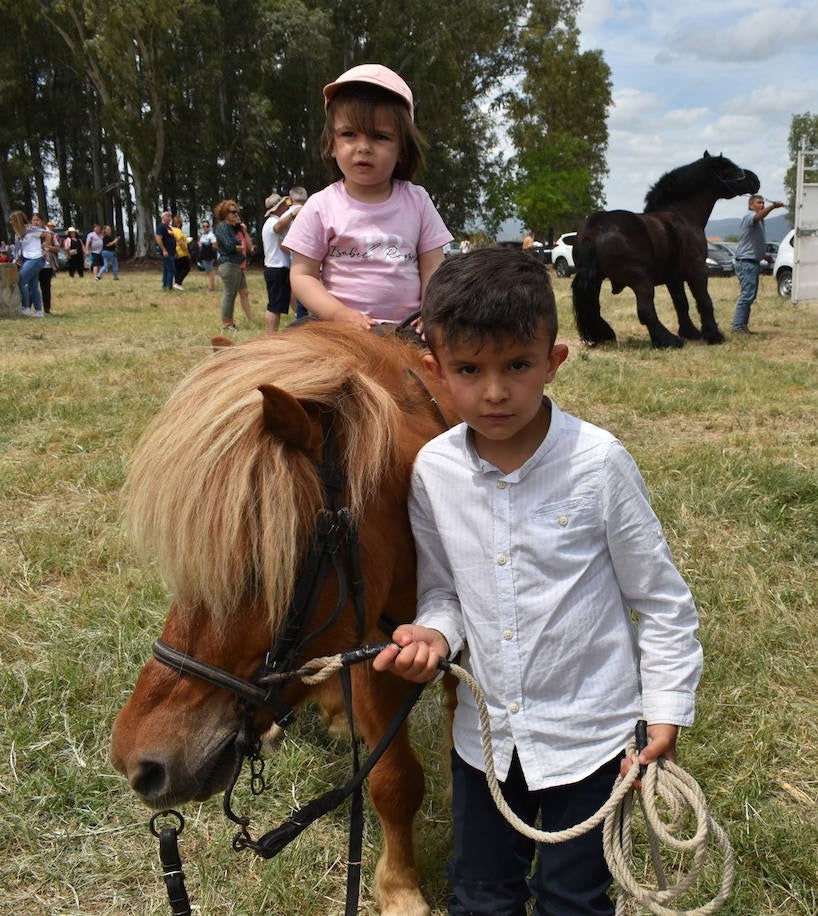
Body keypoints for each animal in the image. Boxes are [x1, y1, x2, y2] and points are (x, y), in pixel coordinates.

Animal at [572, 152, 760, 348]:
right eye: (728, 168)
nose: (755, 179)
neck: (682, 214)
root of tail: (595, 228)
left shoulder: (674, 278)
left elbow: (681, 303)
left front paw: (690, 332)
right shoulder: (698, 271)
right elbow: (704, 302)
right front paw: (713, 335)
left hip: (597, 281)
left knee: (595, 308)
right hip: (641, 281)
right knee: (646, 311)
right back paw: (668, 340)